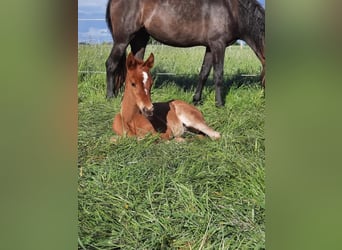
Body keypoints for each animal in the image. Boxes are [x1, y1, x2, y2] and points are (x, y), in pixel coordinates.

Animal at [105, 0, 266, 106]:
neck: (233, 10)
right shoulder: (218, 45)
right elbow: (218, 75)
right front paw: (219, 104)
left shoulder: (210, 47)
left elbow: (203, 74)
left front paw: (196, 100)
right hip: (122, 40)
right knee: (111, 64)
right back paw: (110, 96)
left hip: (140, 40)